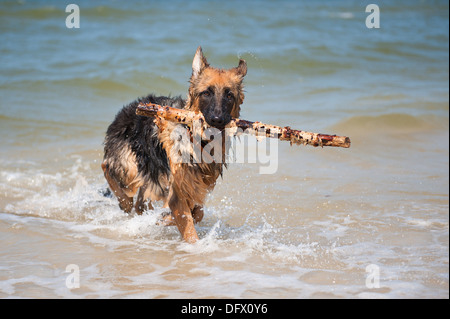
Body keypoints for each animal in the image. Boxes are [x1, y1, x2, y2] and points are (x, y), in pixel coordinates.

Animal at [102, 47, 248, 242]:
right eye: (206, 93)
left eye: (229, 95)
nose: (217, 120)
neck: (198, 141)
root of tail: (127, 109)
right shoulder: (177, 192)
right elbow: (189, 228)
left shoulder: (194, 187)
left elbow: (197, 213)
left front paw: (164, 218)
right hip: (130, 166)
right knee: (107, 168)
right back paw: (124, 202)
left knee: (141, 202)